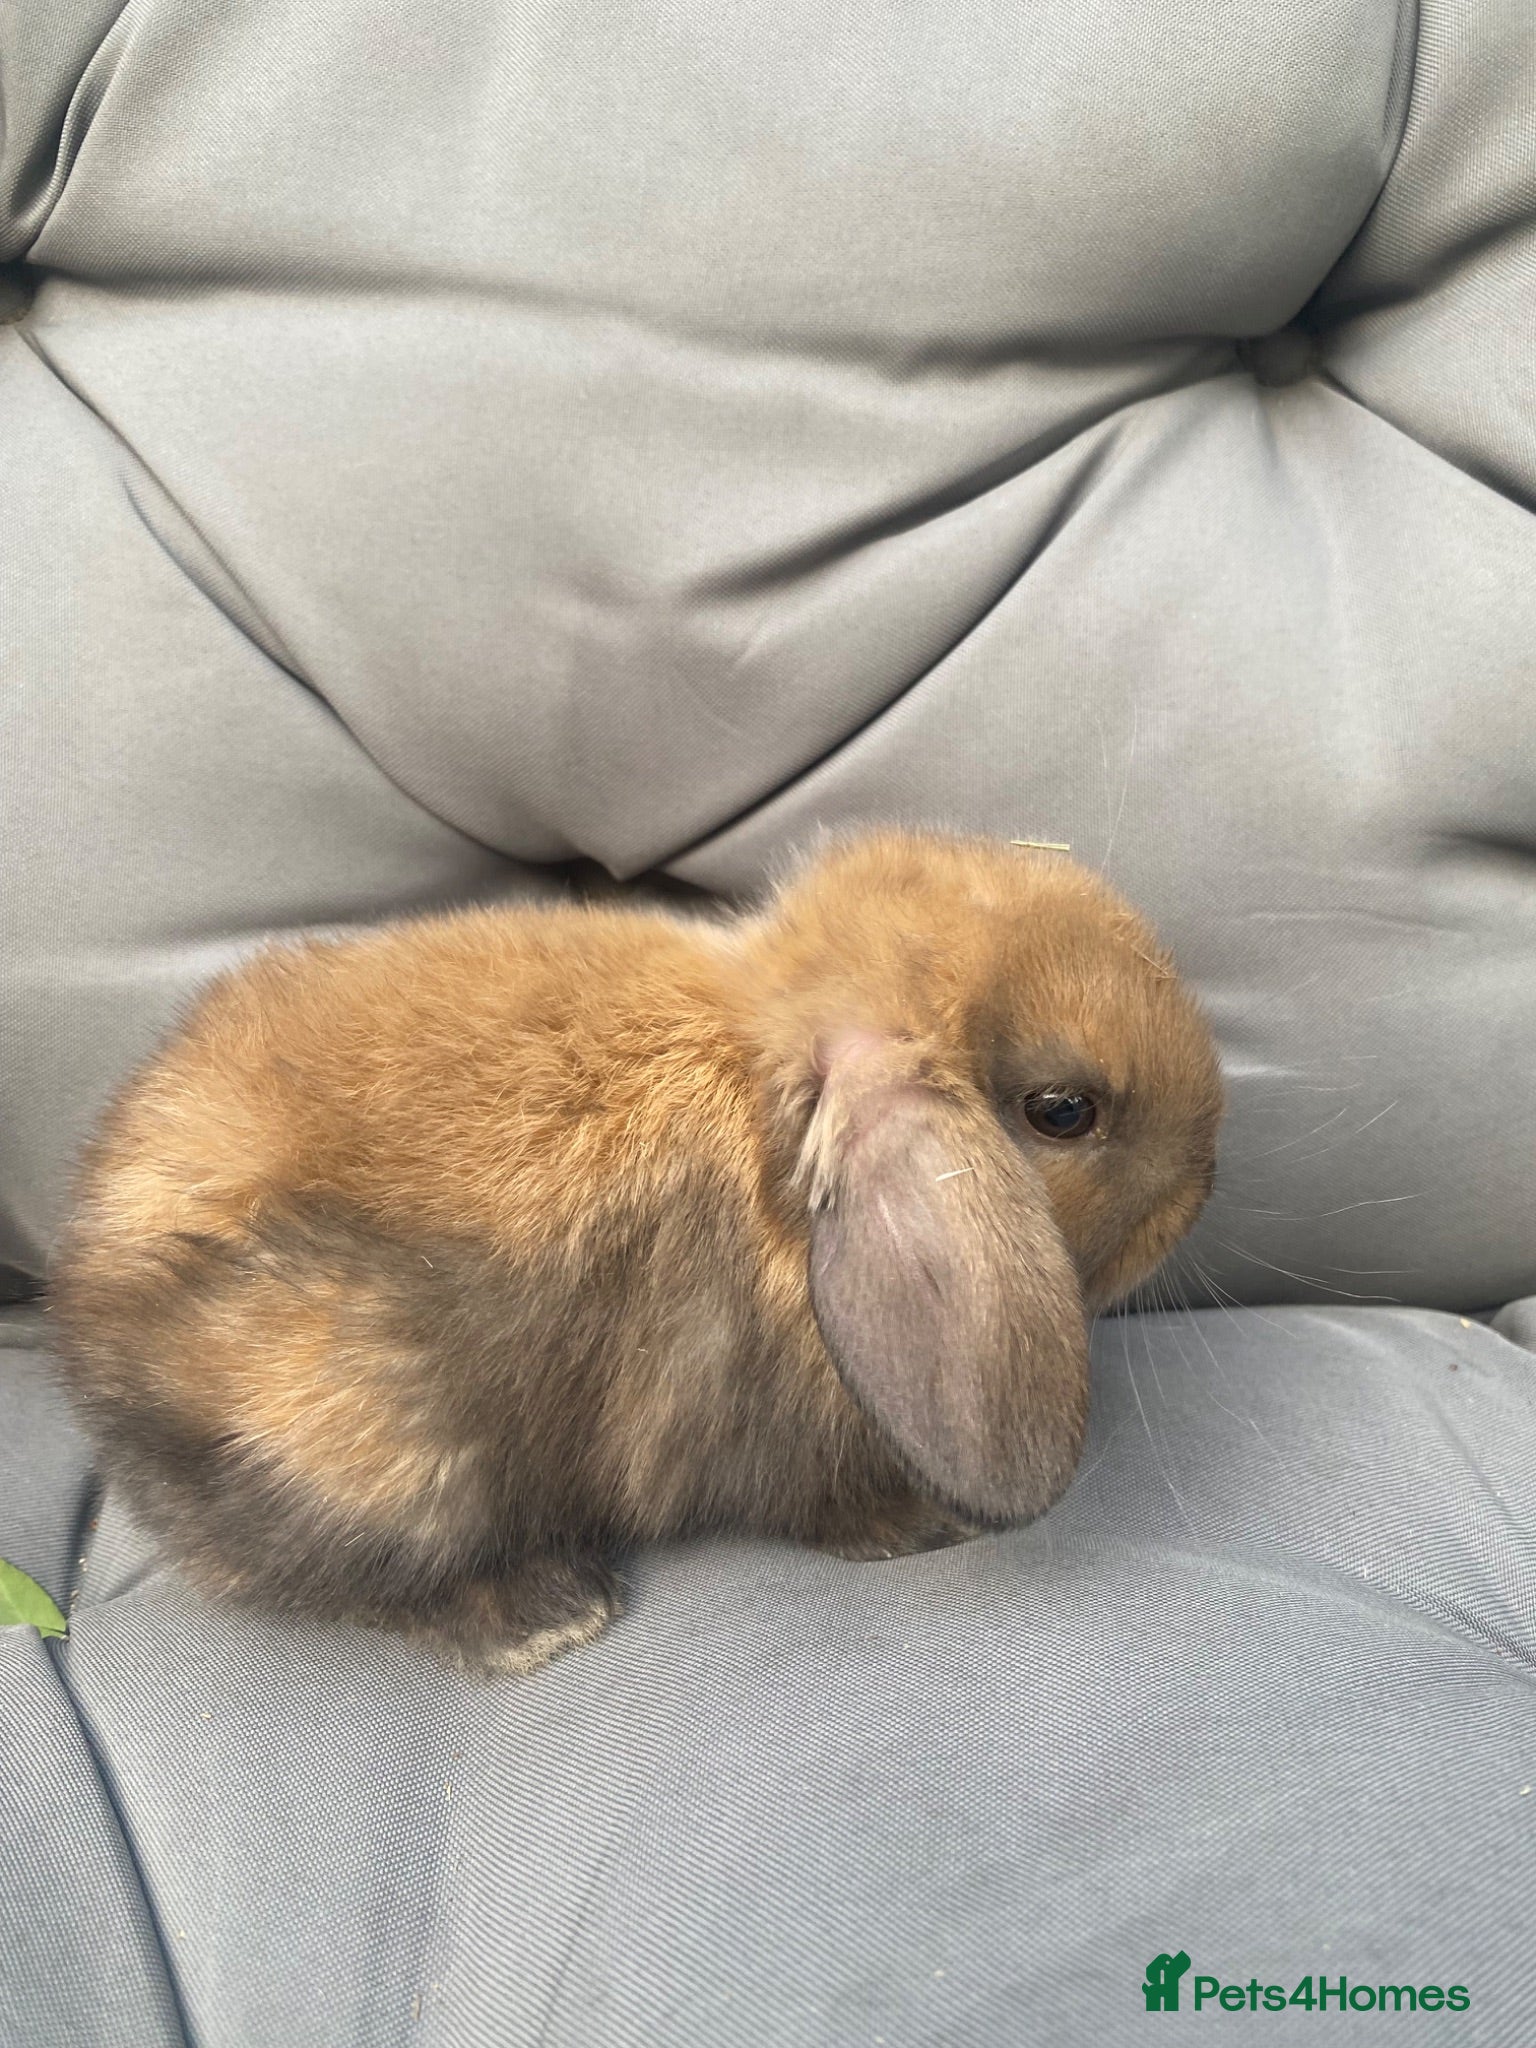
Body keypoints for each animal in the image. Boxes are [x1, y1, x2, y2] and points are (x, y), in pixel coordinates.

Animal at [50, 828, 1223, 1676]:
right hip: (369, 1437)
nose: (1203, 1189)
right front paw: (925, 1522)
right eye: (1063, 1111)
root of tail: (89, 1315)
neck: (771, 1126)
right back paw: (546, 1615)